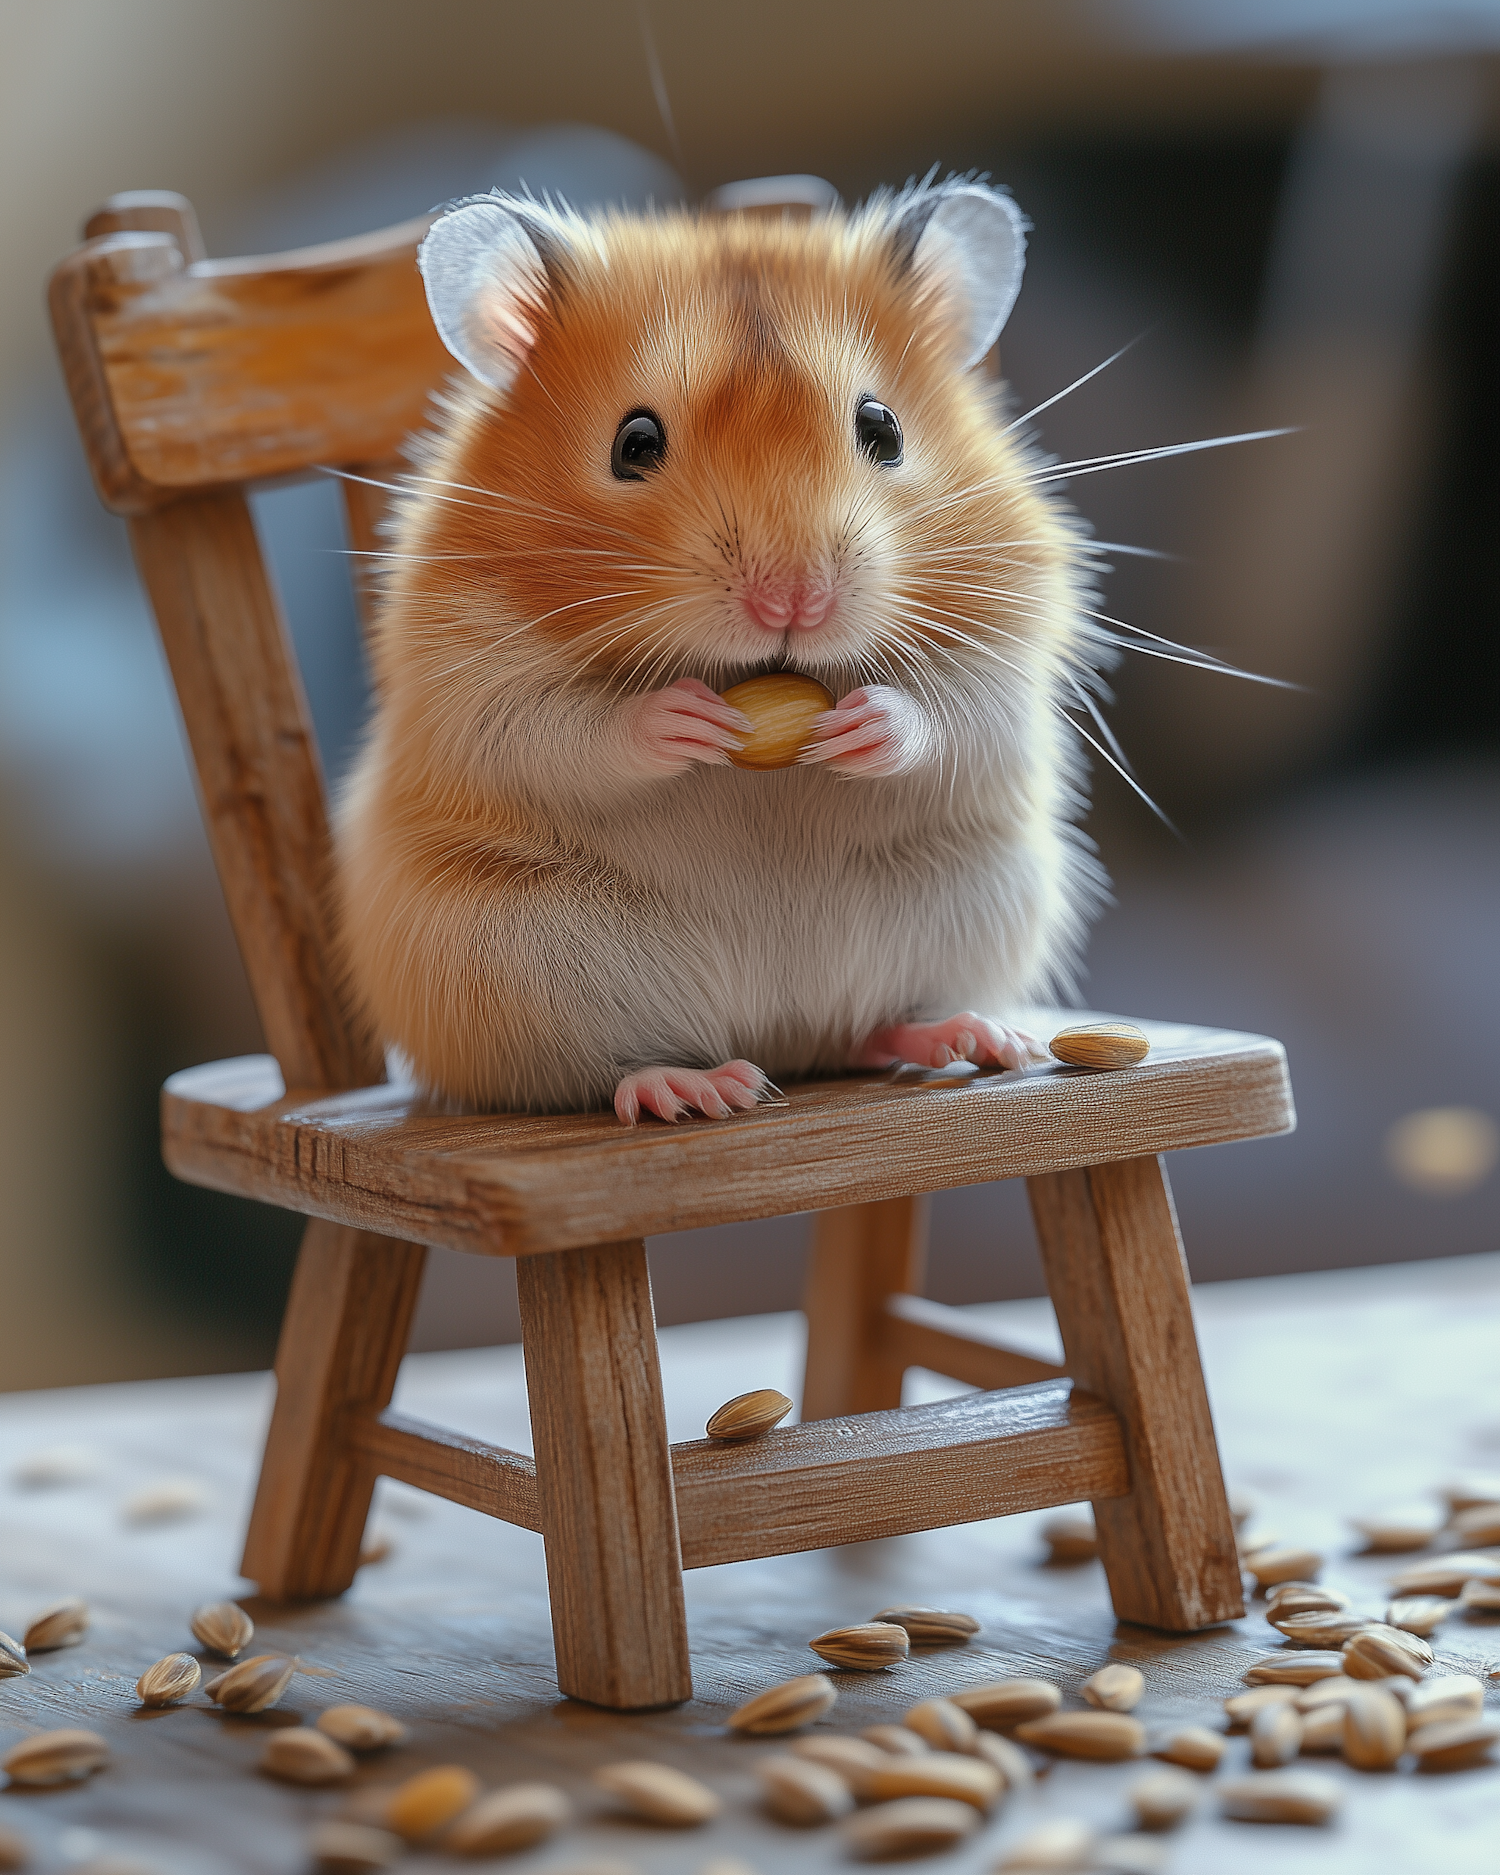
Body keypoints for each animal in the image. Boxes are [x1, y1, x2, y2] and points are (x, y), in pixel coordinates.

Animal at [343, 176, 1110, 1117]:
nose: (792, 600)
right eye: (633, 443)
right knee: (592, 1069)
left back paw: (971, 1037)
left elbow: (955, 707)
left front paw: (859, 727)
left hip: (974, 901)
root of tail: (776, 1038)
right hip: (503, 960)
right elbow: (562, 730)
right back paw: (700, 1087)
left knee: (867, 1028)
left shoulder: (1011, 645)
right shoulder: (470, 677)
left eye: (884, 429)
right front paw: (690, 722)